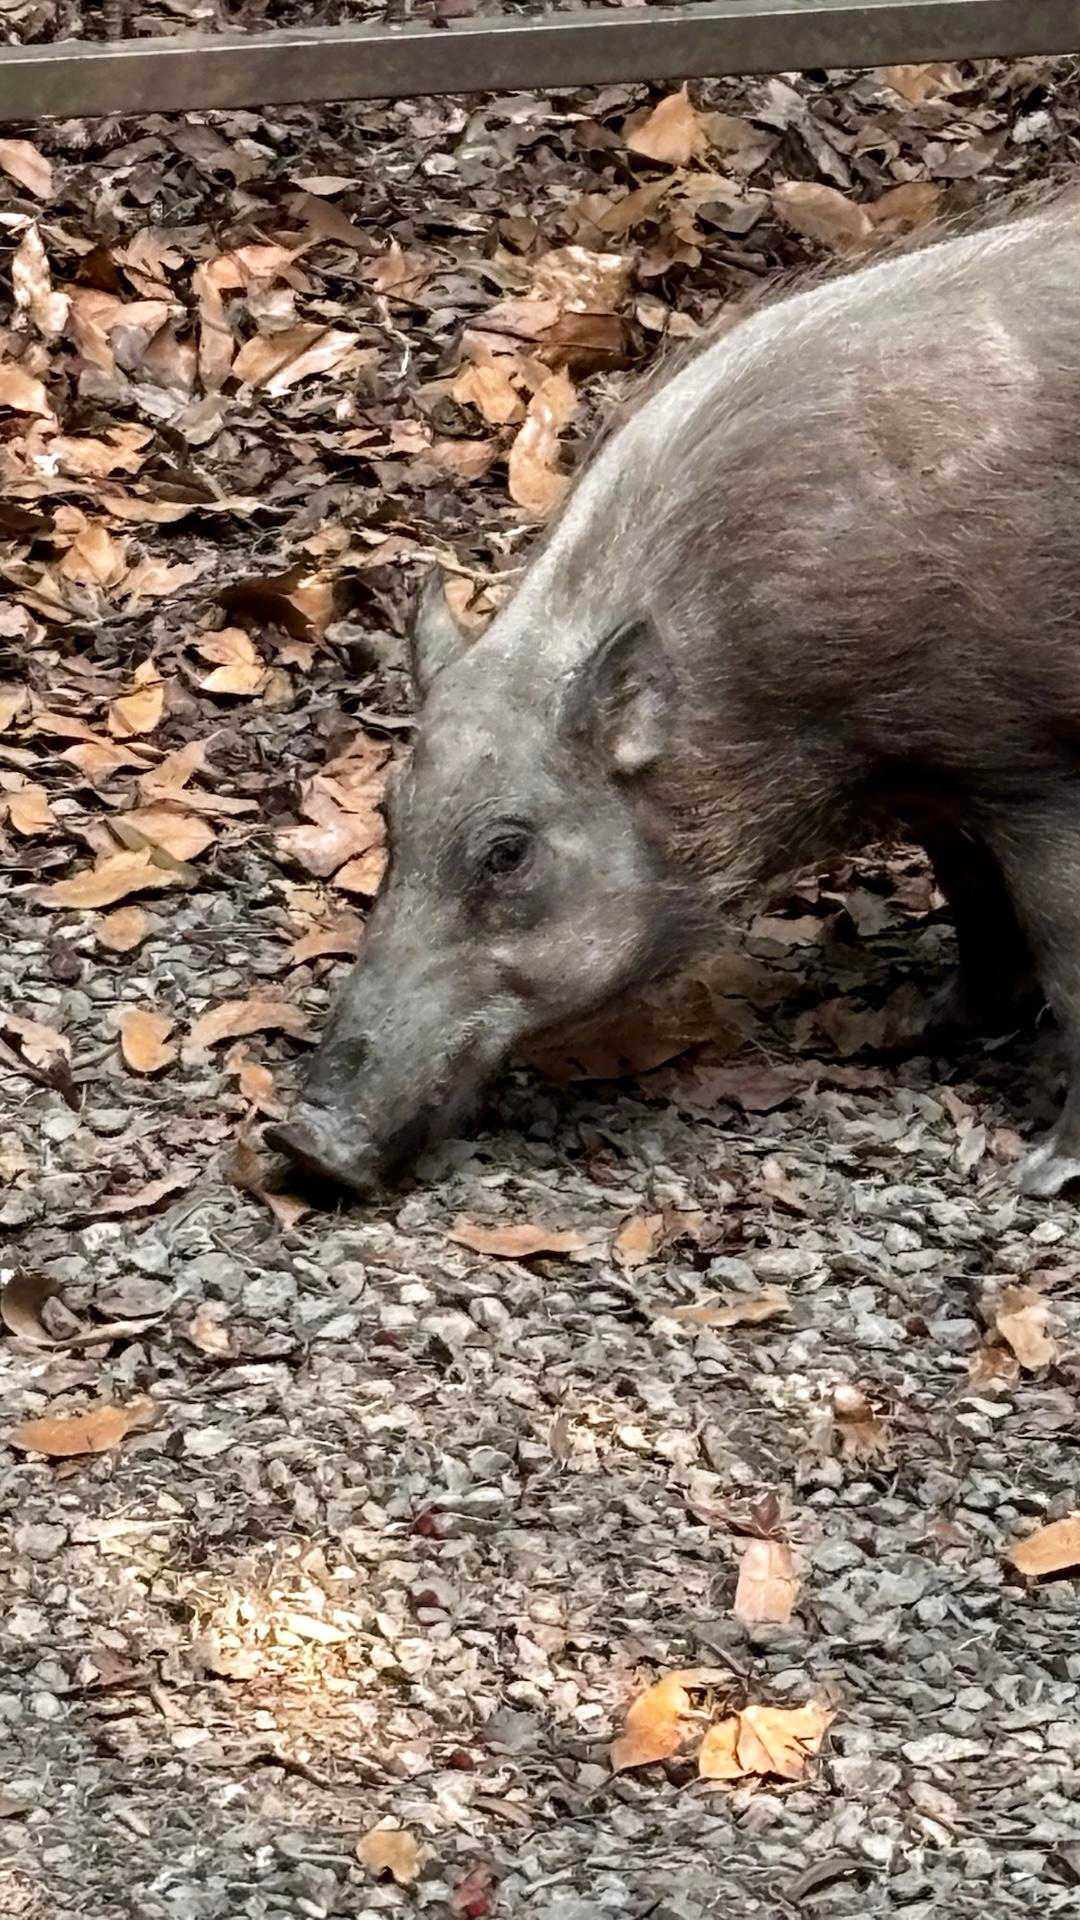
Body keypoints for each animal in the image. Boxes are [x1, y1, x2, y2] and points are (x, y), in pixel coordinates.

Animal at [270, 191, 1080, 1200]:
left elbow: (1066, 954)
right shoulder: (937, 771)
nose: (298, 1142)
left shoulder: (1034, 769)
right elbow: (974, 904)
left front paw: (1041, 1173)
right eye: (388, 811)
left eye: (508, 853)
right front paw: (910, 1032)